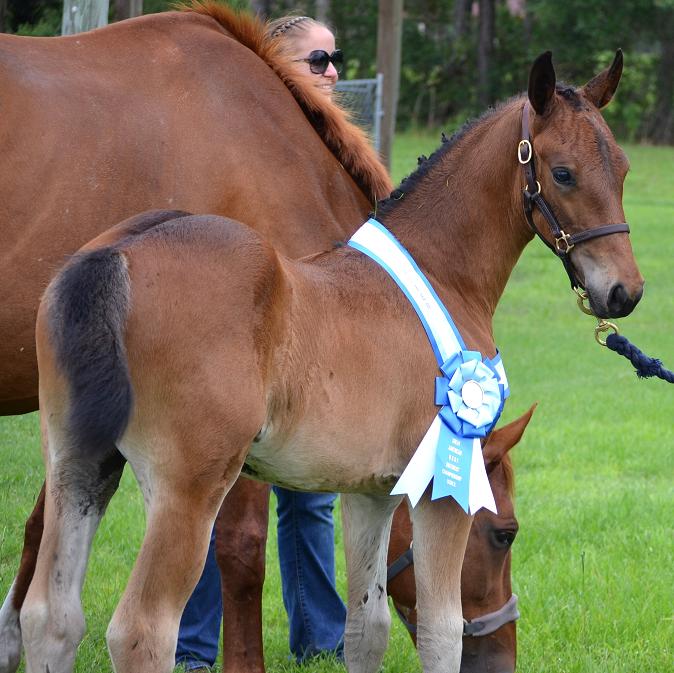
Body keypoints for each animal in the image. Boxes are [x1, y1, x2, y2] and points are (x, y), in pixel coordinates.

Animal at [19, 47, 640, 672]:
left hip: (79, 467)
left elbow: (367, 628)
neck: (440, 276)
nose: (624, 293)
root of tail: (117, 255)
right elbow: (442, 633)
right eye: (563, 173)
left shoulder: (372, 492)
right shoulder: (440, 493)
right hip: (186, 493)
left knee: (51, 618)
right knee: (142, 630)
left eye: (623, 169)